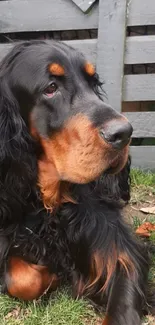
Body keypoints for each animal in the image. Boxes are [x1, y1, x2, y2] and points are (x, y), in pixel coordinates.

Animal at [0, 40, 153, 324]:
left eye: (93, 83)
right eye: (51, 88)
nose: (124, 133)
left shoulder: (118, 248)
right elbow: (21, 279)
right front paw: (51, 273)